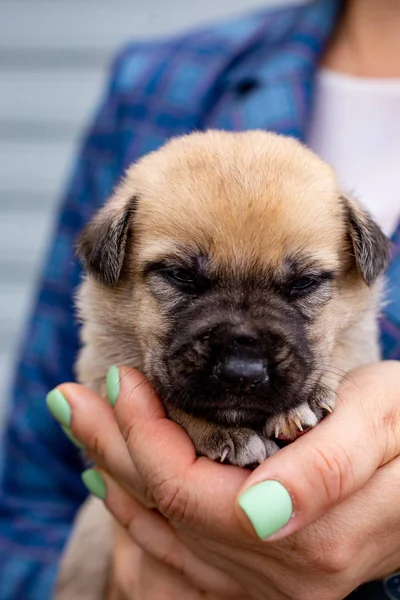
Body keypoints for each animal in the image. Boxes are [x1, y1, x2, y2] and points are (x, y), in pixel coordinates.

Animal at [54, 129, 390, 596]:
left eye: (304, 283)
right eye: (180, 276)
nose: (241, 374)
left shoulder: (357, 340)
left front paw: (300, 404)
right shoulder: (101, 371)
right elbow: (170, 401)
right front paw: (223, 433)